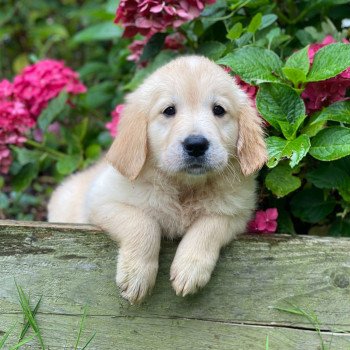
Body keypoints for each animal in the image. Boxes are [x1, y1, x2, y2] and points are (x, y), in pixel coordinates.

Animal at [47, 54, 266, 304]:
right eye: (169, 110)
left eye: (219, 110)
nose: (196, 145)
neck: (184, 187)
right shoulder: (102, 201)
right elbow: (143, 222)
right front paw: (137, 275)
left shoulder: (236, 212)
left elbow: (209, 226)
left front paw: (189, 269)